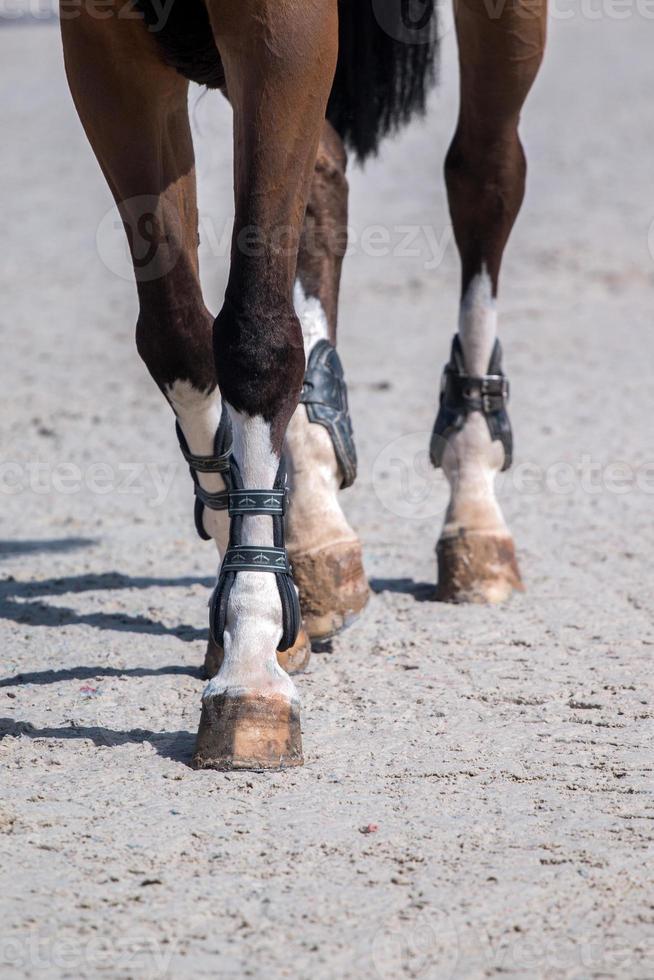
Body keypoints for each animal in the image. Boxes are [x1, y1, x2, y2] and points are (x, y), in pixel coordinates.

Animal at [60, 0, 548, 768]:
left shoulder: (281, 26)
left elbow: (255, 337)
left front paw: (251, 665)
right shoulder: (100, 38)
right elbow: (175, 331)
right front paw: (250, 577)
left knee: (485, 175)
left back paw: (475, 505)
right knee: (324, 172)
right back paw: (320, 526)